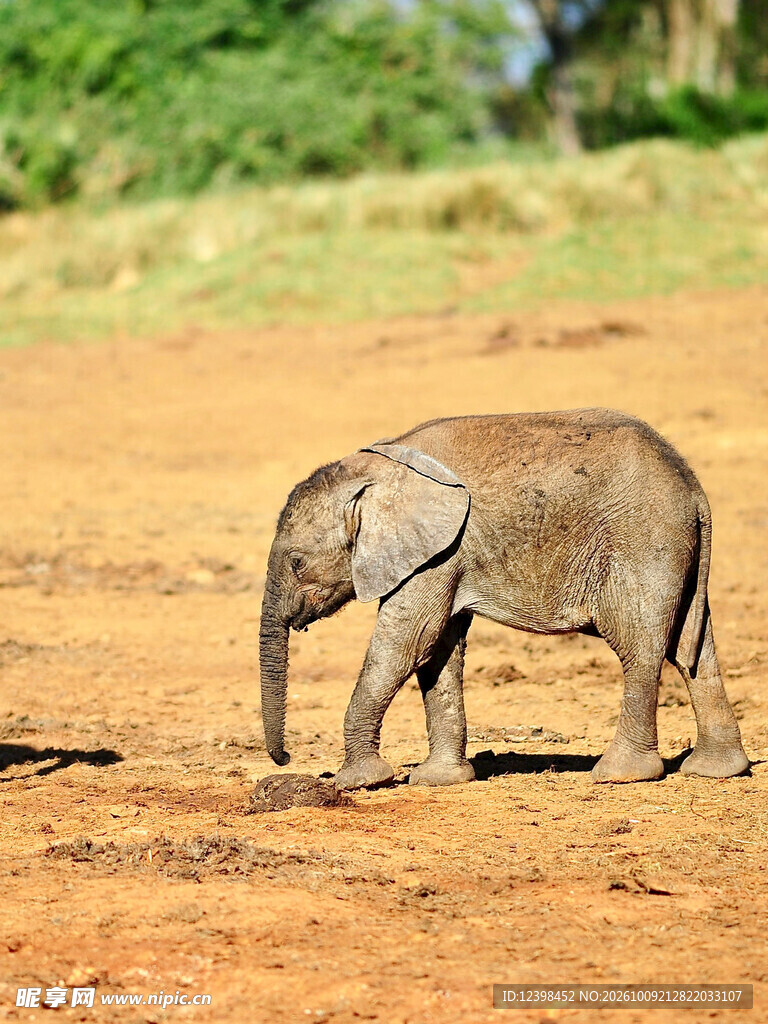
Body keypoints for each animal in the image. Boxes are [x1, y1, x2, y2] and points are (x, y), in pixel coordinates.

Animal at [259, 409, 748, 790]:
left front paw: (359, 782)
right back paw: (715, 771)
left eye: (297, 563)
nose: (286, 760)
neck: (373, 471)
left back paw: (620, 775)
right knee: (693, 650)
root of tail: (694, 488)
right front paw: (438, 781)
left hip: (644, 540)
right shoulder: (445, 553)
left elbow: (405, 644)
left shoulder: (437, 552)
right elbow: (438, 651)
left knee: (641, 647)